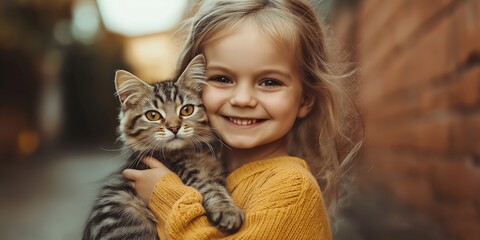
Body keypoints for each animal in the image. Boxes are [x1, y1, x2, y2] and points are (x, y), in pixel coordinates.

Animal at [82, 54, 244, 240]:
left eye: (187, 110)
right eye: (153, 115)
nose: (174, 128)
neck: (193, 152)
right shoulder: (193, 177)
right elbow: (213, 190)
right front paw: (228, 212)